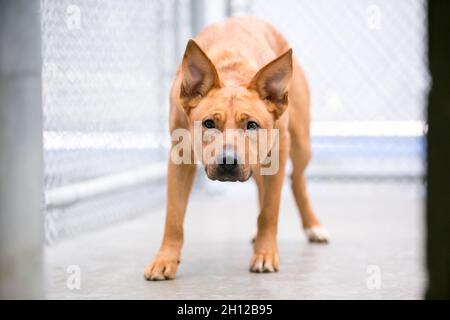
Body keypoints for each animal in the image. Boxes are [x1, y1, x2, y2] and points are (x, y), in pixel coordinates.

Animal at [146, 16, 328, 280]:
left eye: (252, 125)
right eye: (209, 123)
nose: (228, 161)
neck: (231, 71)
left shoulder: (279, 152)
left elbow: (270, 210)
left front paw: (265, 254)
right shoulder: (179, 157)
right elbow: (173, 216)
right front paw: (164, 259)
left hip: (301, 145)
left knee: (296, 182)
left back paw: (313, 226)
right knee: (265, 187)